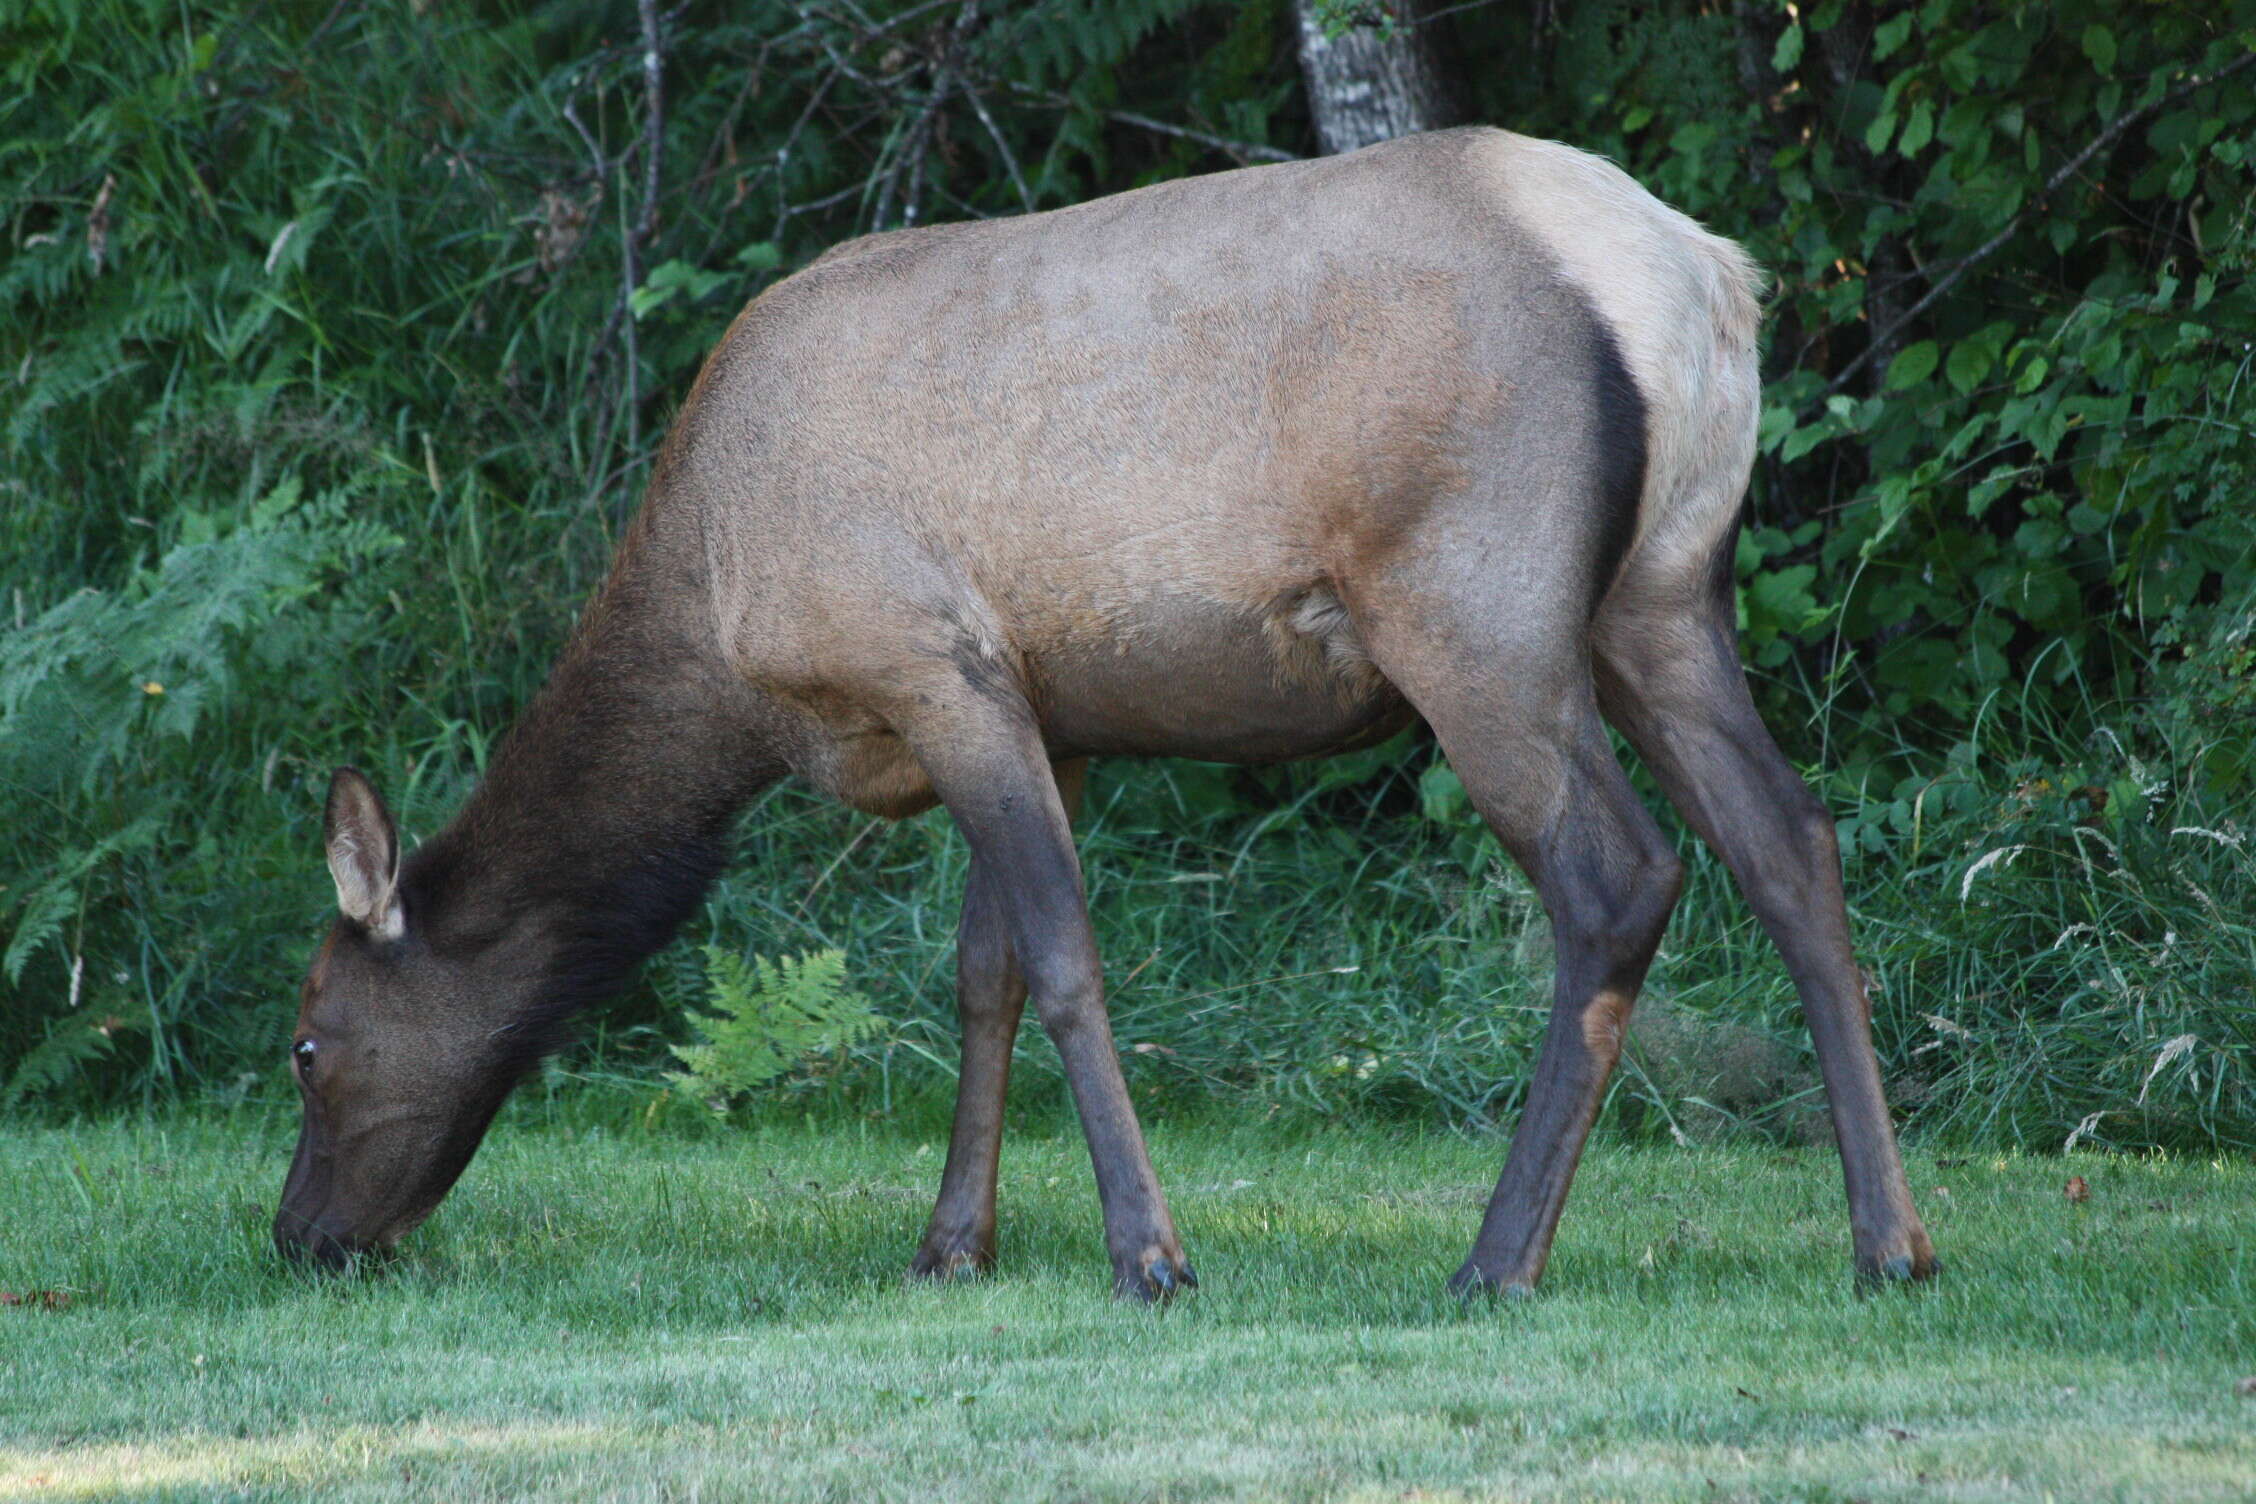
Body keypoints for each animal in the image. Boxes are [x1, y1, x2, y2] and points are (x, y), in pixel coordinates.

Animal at [277, 129, 1940, 1298]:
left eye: (308, 1042)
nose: (297, 1235)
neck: (719, 646)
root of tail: (1706, 280)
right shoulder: (1047, 707)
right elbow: (983, 975)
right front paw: (953, 1243)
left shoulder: (931, 662)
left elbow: (1067, 962)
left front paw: (1151, 1252)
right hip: (1662, 594)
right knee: (1793, 843)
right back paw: (1892, 1243)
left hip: (1477, 604)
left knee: (1620, 877)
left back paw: (1497, 1256)